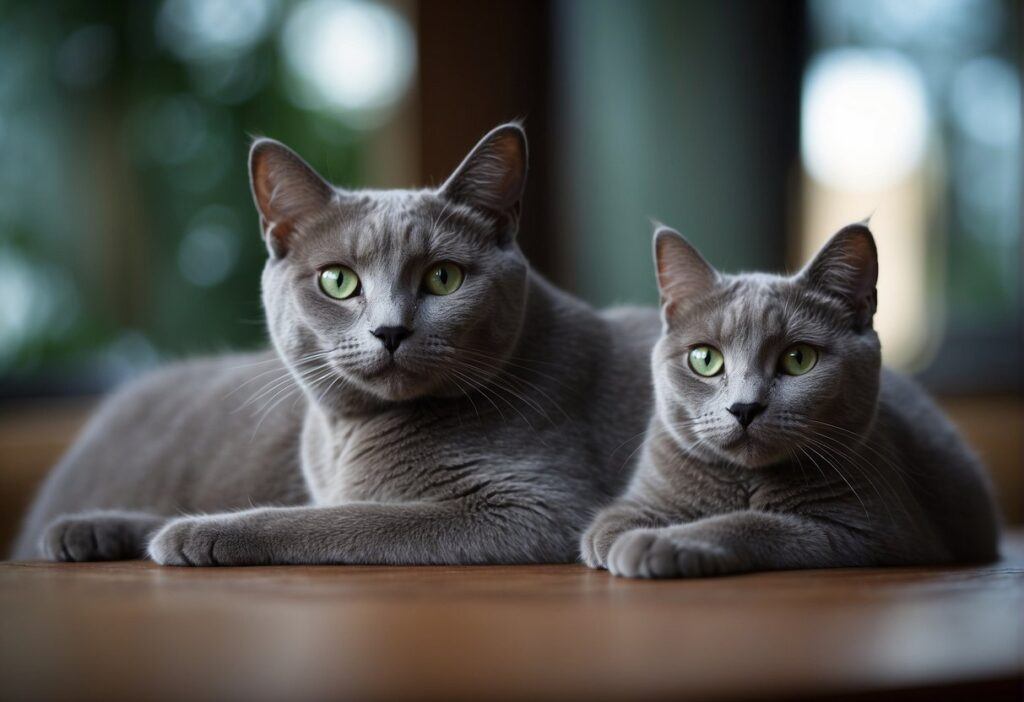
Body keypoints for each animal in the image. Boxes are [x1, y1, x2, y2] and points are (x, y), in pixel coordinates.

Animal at [12, 125, 659, 564]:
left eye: (443, 277)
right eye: (338, 281)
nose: (391, 329)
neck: (348, 436)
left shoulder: (536, 507)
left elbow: (342, 520)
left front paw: (197, 532)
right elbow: (324, 509)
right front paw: (100, 528)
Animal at [585, 224, 999, 577]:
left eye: (798, 359)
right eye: (704, 359)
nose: (744, 407)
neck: (747, 480)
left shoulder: (874, 529)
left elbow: (758, 523)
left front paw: (655, 542)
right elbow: (608, 523)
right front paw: (620, 536)